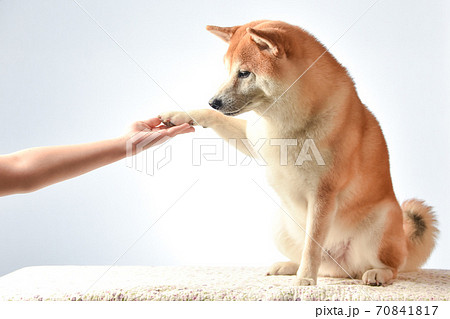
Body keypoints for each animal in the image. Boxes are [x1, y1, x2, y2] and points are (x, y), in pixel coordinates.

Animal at [160, 20, 438, 288]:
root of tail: (341, 266)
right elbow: (214, 119)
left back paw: (377, 273)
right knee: (321, 263)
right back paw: (289, 266)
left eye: (244, 73)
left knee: (392, 267)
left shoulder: (324, 193)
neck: (285, 123)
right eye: (228, 71)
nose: (213, 101)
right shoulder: (253, 141)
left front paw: (305, 280)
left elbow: (312, 246)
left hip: (381, 223)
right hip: (279, 224)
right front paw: (181, 116)